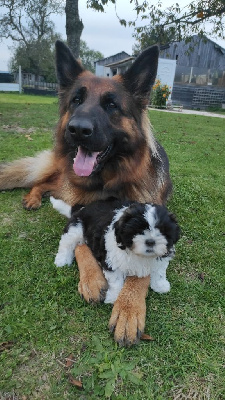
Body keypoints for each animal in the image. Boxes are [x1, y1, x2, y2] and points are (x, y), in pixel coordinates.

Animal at [51, 197, 181, 304]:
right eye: (137, 230)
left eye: (162, 230)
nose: (150, 241)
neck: (138, 254)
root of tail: (82, 208)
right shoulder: (111, 260)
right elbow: (116, 280)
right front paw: (113, 297)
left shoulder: (161, 257)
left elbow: (159, 271)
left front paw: (160, 285)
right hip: (76, 228)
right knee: (66, 242)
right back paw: (62, 260)